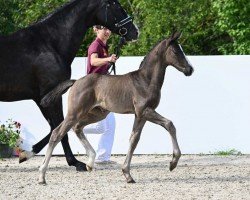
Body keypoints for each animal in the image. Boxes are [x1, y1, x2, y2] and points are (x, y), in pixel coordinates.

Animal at [0, 0, 139, 172]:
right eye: (116, 6)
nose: (135, 32)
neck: (49, 43)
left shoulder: (42, 98)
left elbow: (55, 127)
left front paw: (27, 153)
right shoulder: (51, 97)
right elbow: (60, 129)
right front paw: (75, 162)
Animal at [38, 30, 193, 184]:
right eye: (175, 51)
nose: (190, 69)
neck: (145, 81)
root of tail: (75, 82)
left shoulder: (140, 115)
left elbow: (134, 139)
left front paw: (127, 174)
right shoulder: (144, 111)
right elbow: (169, 124)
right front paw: (173, 163)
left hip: (97, 114)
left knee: (77, 127)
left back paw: (90, 162)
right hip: (75, 113)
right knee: (57, 133)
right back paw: (42, 175)